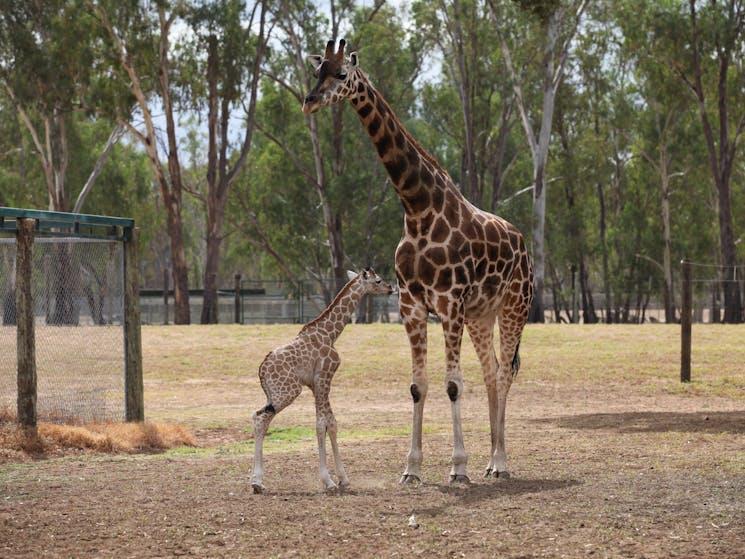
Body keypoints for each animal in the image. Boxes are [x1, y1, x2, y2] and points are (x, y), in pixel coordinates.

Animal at [250, 270, 392, 492]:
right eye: (378, 280)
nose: (391, 288)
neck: (330, 333)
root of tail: (261, 370)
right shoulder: (324, 377)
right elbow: (321, 424)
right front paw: (329, 481)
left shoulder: (315, 384)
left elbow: (331, 423)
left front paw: (343, 478)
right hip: (289, 391)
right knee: (260, 418)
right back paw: (256, 482)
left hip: (274, 395)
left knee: (260, 418)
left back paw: (258, 482)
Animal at [300, 40, 532, 486]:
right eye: (317, 70)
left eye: (342, 74)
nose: (310, 101)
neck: (417, 208)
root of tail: (524, 241)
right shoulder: (411, 305)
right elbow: (418, 386)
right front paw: (412, 468)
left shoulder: (450, 303)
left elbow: (453, 384)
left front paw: (458, 467)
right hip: (481, 315)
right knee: (492, 371)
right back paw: (491, 459)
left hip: (515, 306)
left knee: (505, 372)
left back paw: (500, 462)